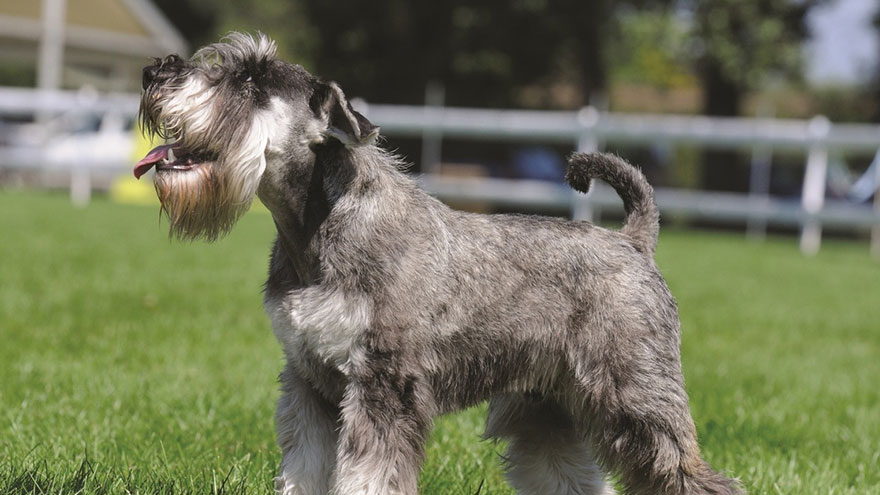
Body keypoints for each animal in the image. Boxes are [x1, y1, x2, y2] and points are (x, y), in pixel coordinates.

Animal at [138, 35, 740, 495]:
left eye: (250, 83)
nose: (154, 70)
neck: (314, 229)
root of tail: (633, 242)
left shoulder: (384, 384)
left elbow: (368, 476)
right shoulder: (309, 383)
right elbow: (305, 470)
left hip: (635, 397)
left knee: (689, 475)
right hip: (548, 408)